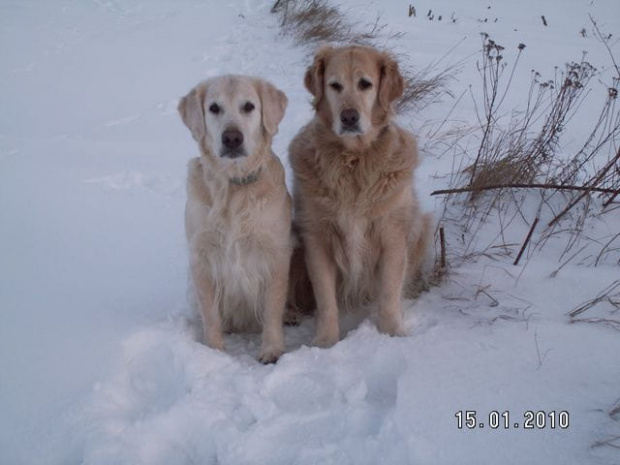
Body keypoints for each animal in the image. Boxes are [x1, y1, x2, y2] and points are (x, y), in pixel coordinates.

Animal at [178, 75, 292, 362]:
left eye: (249, 106)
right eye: (214, 108)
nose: (232, 138)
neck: (233, 186)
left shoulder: (275, 254)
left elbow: (272, 309)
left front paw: (271, 349)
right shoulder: (202, 257)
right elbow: (210, 314)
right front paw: (214, 351)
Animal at [286, 45, 428, 346]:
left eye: (365, 84)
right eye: (335, 85)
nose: (349, 117)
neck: (353, 160)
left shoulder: (392, 234)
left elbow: (388, 292)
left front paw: (392, 333)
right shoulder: (316, 237)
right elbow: (326, 299)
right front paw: (325, 342)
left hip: (423, 226)